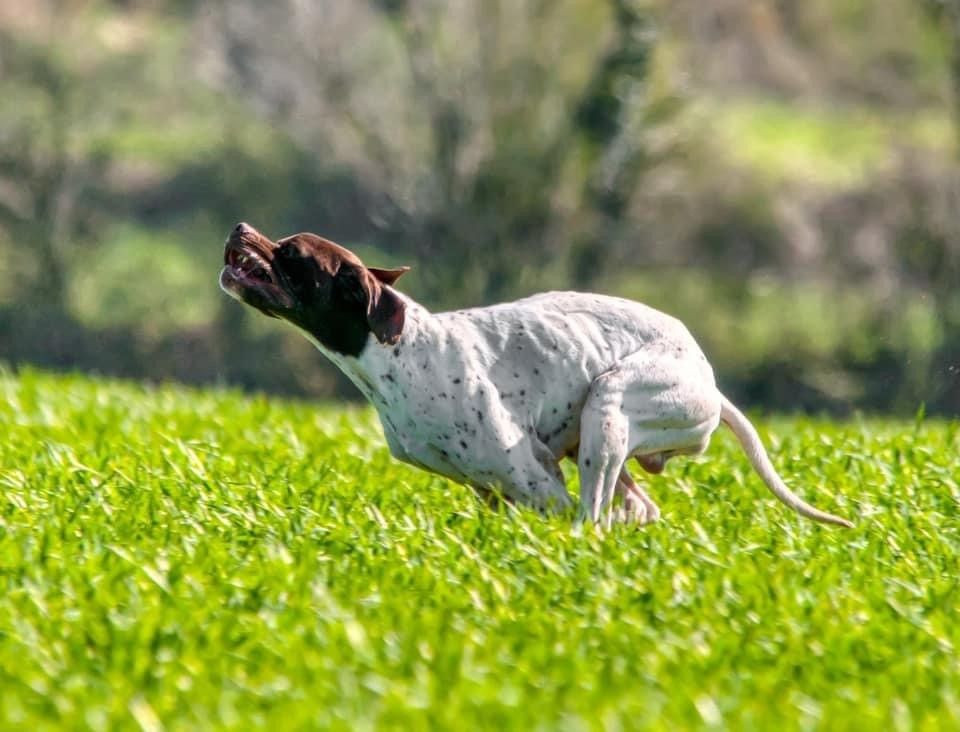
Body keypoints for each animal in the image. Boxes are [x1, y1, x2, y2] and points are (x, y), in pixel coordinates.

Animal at [221, 220, 852, 528]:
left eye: (292, 254)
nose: (239, 228)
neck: (398, 354)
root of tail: (712, 385)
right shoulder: (497, 490)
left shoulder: (535, 479)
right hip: (597, 439)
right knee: (637, 509)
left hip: (609, 406)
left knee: (594, 517)